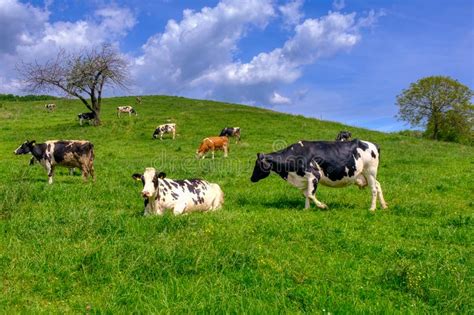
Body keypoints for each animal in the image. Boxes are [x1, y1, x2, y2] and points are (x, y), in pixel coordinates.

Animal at [250, 139, 386, 211]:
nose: (251, 178)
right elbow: (306, 194)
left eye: (257, 164)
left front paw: (322, 206)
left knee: (374, 189)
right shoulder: (304, 179)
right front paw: (306, 209)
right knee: (378, 185)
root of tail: (373, 144)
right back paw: (384, 206)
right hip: (366, 175)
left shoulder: (314, 175)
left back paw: (372, 209)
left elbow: (310, 194)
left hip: (370, 171)